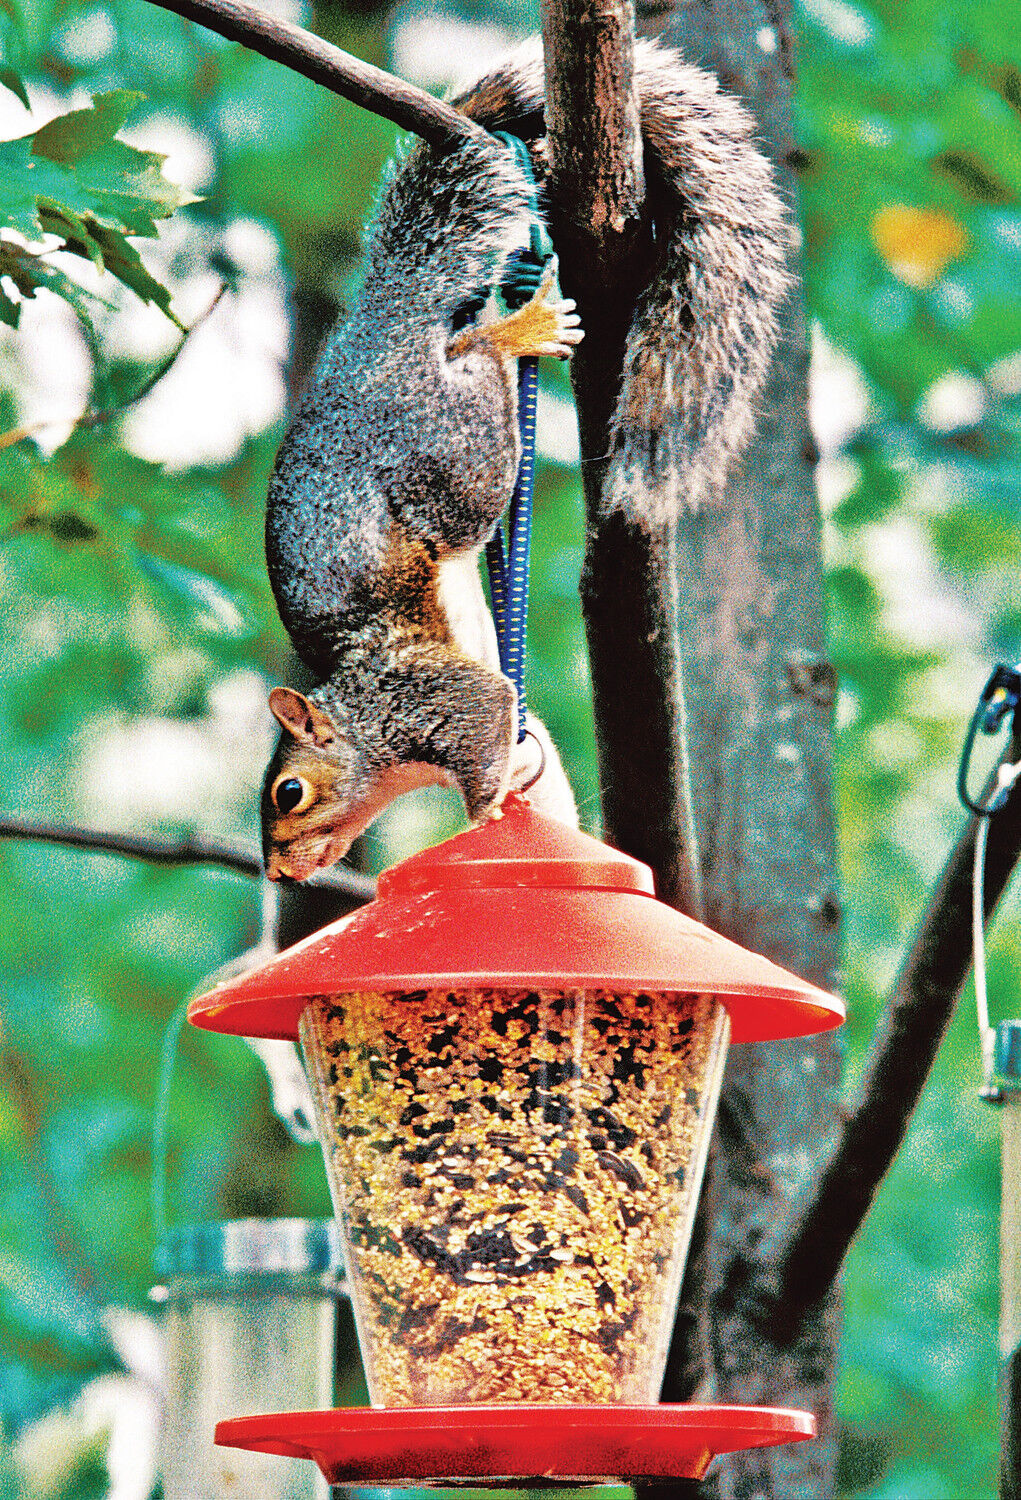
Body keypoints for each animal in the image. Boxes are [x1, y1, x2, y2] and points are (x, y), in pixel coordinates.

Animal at [261, 37, 791, 883]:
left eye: (290, 793)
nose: (281, 874)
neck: (358, 709)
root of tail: (384, 317)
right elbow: (527, 730)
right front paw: (531, 792)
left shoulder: (424, 700)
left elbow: (482, 737)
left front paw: (489, 818)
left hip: (450, 458)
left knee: (475, 366)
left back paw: (519, 330)